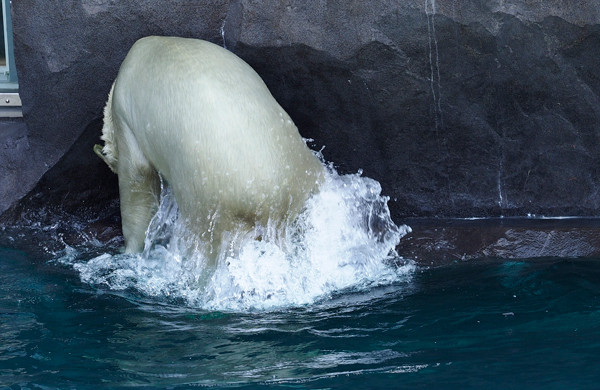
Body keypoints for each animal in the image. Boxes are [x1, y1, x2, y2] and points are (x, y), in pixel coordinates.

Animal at [95, 36, 324, 254]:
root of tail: (272, 200)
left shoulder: (124, 114)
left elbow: (137, 179)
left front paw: (129, 248)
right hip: (303, 170)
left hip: (209, 204)